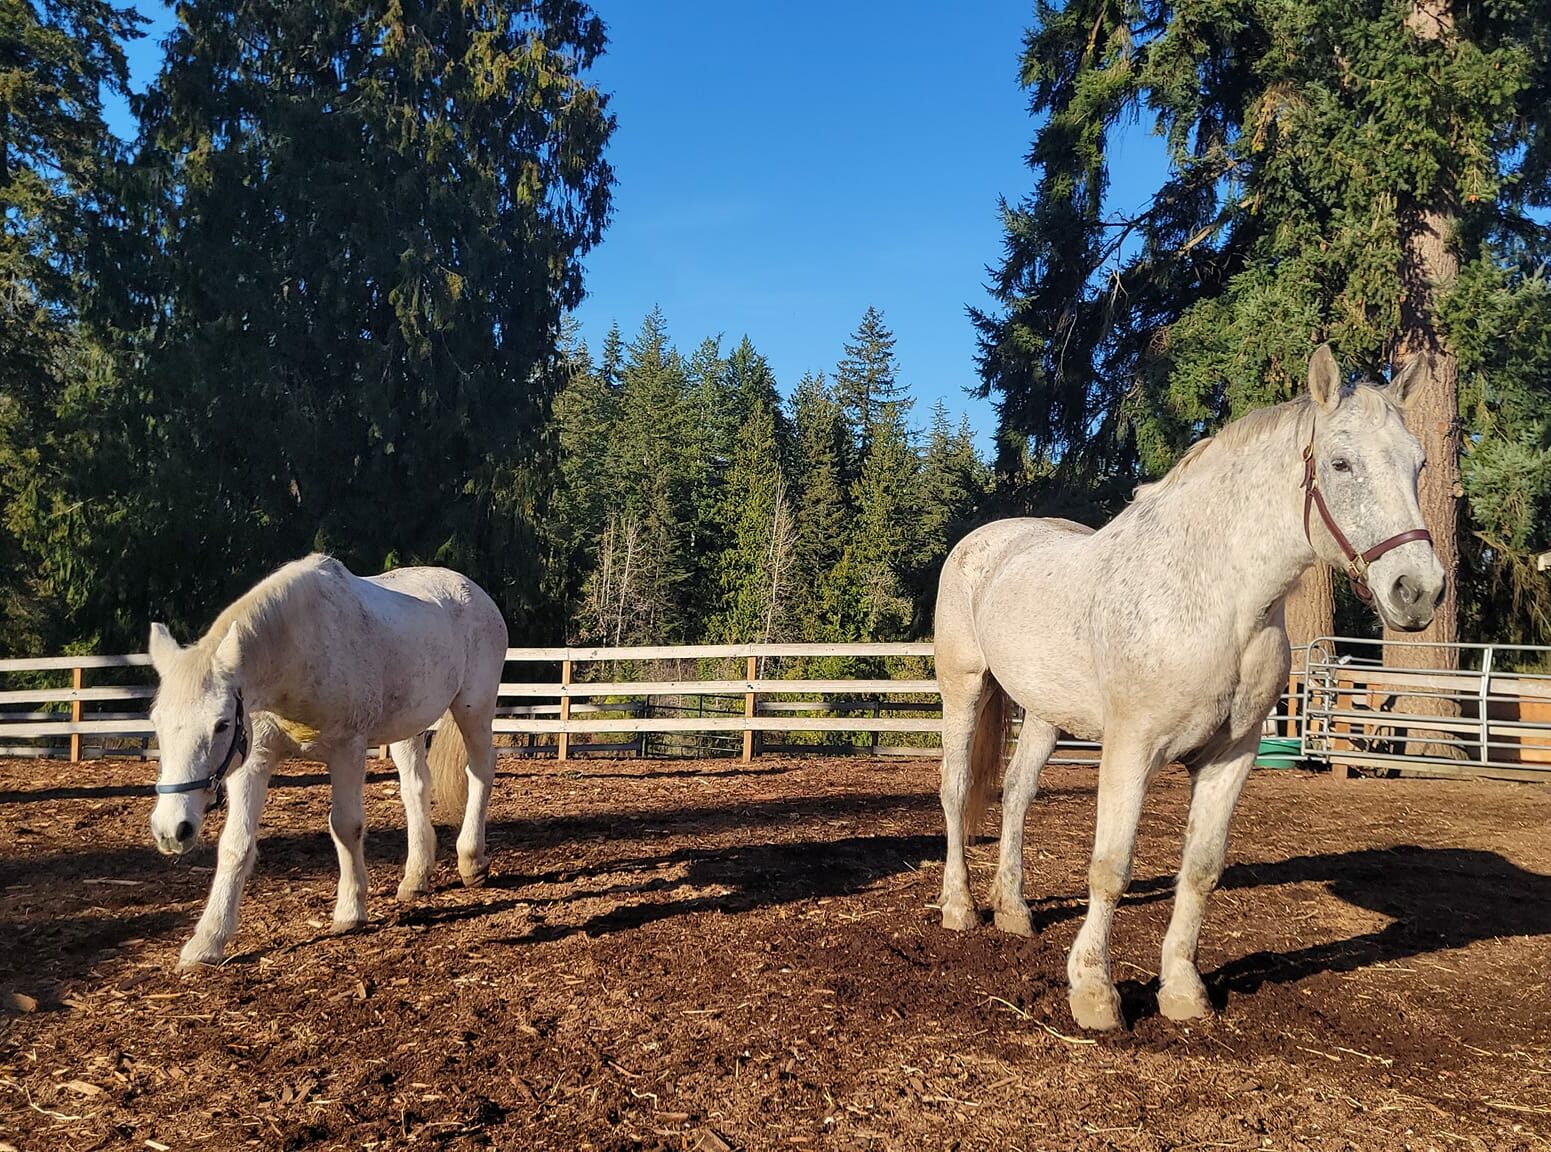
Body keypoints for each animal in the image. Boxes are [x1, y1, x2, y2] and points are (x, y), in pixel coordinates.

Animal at [148, 555, 505, 967]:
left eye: (221, 724)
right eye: (156, 720)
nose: (172, 830)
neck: (298, 655)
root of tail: (471, 590)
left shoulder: (347, 749)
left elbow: (345, 826)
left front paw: (350, 911)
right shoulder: (254, 760)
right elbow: (236, 843)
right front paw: (207, 940)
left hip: (474, 707)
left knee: (479, 771)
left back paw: (472, 860)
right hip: (408, 725)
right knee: (415, 787)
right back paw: (416, 877)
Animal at [924, 347, 1445, 1029]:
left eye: (1418, 464)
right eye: (1341, 463)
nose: (1419, 590)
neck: (1216, 600)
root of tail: (986, 541)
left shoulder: (1232, 757)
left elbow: (1200, 870)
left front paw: (1182, 991)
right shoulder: (1131, 749)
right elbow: (1111, 868)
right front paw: (1095, 992)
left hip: (1042, 713)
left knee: (1015, 795)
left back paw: (1012, 910)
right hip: (964, 690)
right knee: (957, 790)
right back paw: (958, 907)